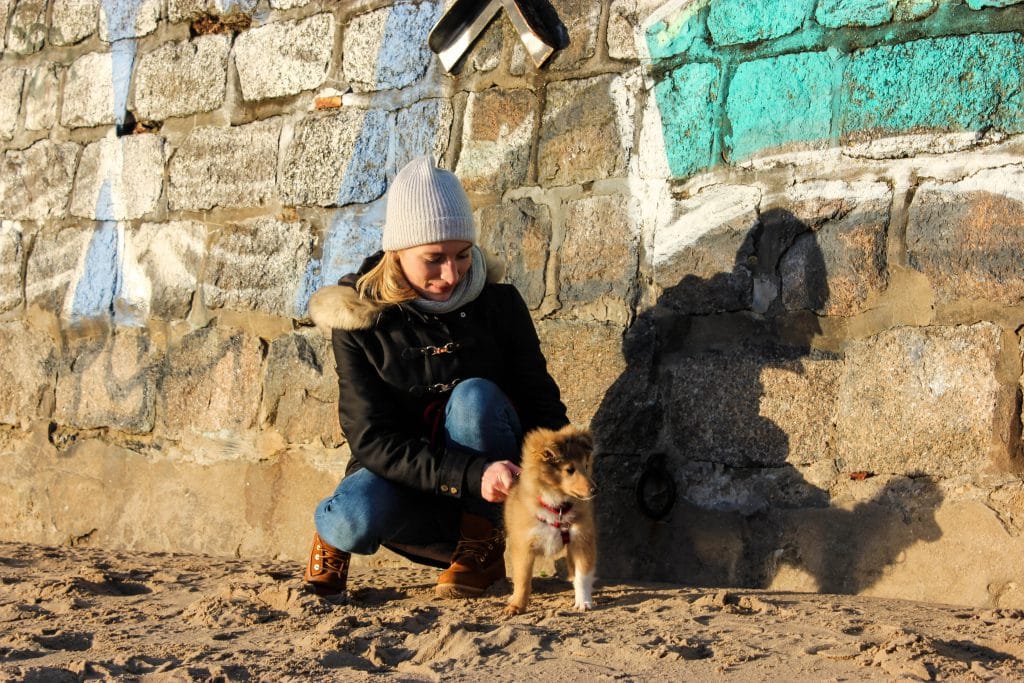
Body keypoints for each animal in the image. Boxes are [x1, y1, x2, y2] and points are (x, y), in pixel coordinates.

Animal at [501, 423, 598, 618]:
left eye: (585, 465)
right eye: (569, 470)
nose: (595, 490)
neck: (557, 506)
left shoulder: (581, 541)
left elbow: (582, 575)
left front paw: (584, 602)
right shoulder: (523, 545)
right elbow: (523, 579)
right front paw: (517, 606)